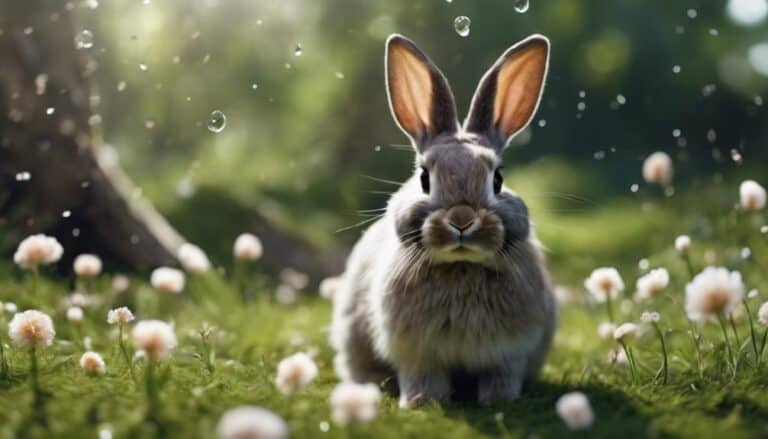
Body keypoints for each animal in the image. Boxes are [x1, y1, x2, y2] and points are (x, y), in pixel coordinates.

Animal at [330, 33, 556, 408]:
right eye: (424, 178)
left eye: (497, 179)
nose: (462, 220)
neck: (461, 267)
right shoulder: (417, 353)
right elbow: (423, 376)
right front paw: (421, 402)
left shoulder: (508, 353)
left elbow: (502, 374)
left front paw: (499, 400)